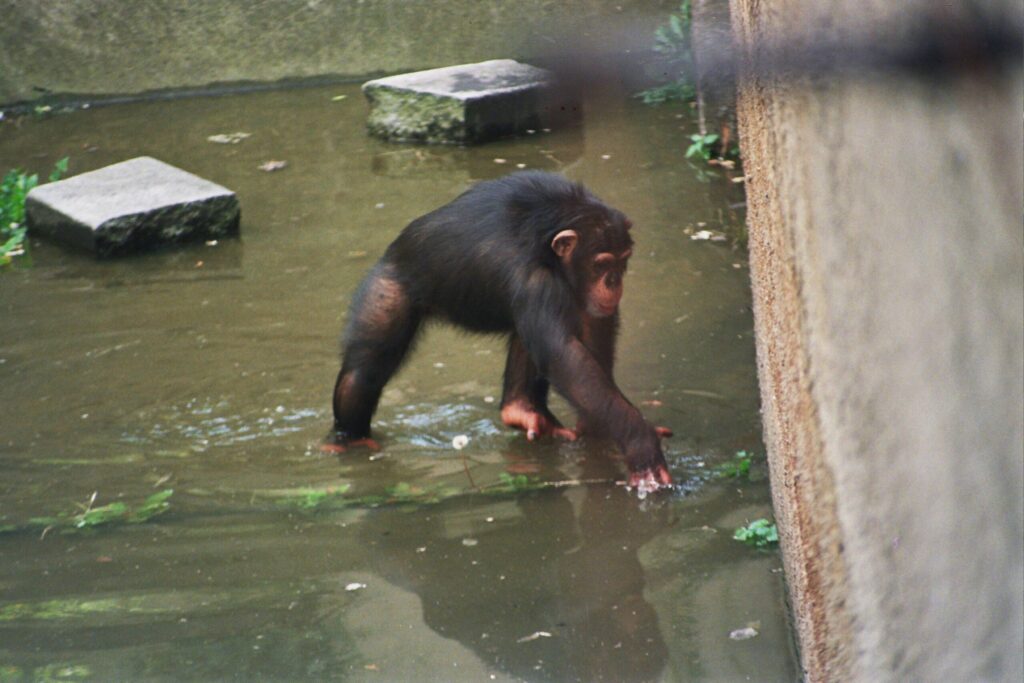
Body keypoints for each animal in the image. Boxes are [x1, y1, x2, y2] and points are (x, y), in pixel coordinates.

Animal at [331, 171, 675, 491]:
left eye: (622, 261)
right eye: (601, 264)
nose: (614, 282)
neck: (551, 250)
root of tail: (389, 254)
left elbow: (591, 330)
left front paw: (598, 430)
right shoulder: (536, 281)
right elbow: (564, 356)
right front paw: (641, 444)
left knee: (526, 334)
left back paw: (519, 408)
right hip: (388, 290)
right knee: (363, 373)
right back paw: (348, 439)